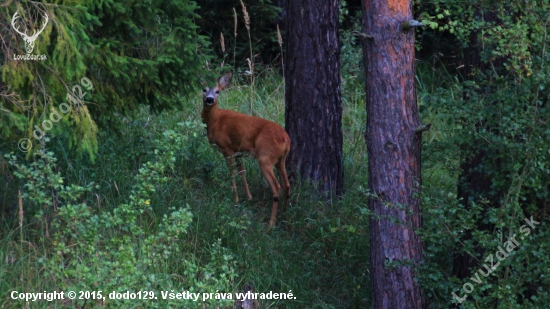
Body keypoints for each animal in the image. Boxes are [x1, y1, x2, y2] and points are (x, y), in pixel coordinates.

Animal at [201, 72, 292, 226]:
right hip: (281, 159)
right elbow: (242, 172)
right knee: (287, 184)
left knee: (277, 186)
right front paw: (249, 197)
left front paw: (235, 198)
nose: (209, 99)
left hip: (265, 157)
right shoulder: (238, 150)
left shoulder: (227, 147)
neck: (215, 120)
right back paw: (284, 212)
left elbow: (232, 173)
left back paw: (271, 223)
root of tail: (286, 139)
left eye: (218, 91)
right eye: (204, 90)